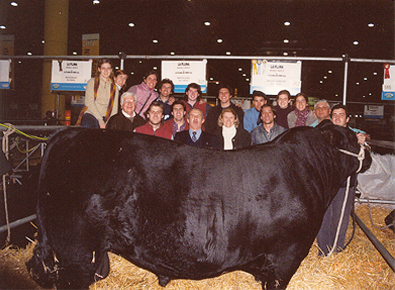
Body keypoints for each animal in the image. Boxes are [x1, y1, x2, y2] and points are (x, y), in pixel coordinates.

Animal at [27, 120, 372, 288]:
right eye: (351, 137)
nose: (367, 147)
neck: (307, 170)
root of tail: (65, 136)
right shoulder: (286, 256)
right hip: (74, 248)